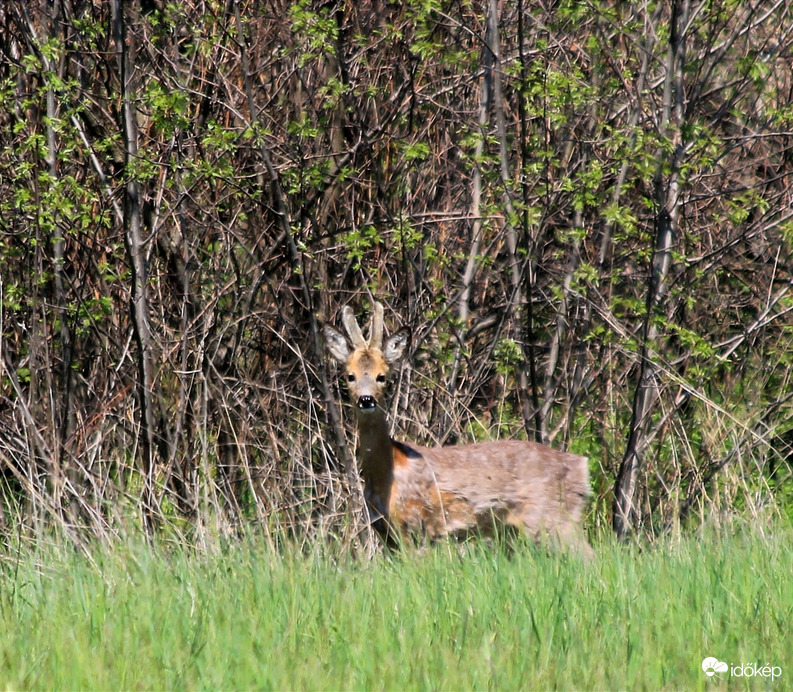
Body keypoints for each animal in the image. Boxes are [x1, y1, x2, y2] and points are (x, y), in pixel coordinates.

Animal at [320, 300, 588, 556]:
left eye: (382, 376)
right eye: (350, 376)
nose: (366, 400)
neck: (386, 474)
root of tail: (581, 467)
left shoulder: (414, 526)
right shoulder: (387, 534)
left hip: (554, 517)